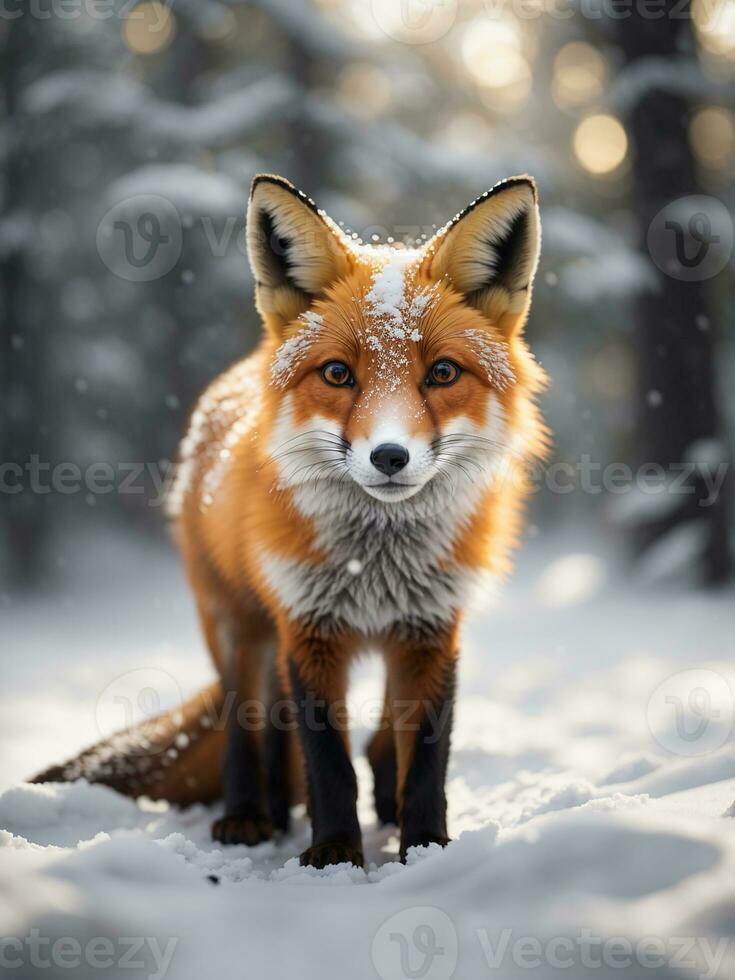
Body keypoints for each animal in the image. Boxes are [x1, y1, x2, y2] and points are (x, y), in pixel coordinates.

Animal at [37, 174, 548, 864]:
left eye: (443, 373)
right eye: (337, 373)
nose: (390, 456)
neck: (376, 561)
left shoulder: (432, 628)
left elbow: (425, 756)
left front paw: (425, 847)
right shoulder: (306, 626)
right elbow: (326, 757)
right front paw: (333, 852)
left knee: (369, 738)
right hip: (239, 627)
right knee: (250, 728)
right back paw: (254, 815)